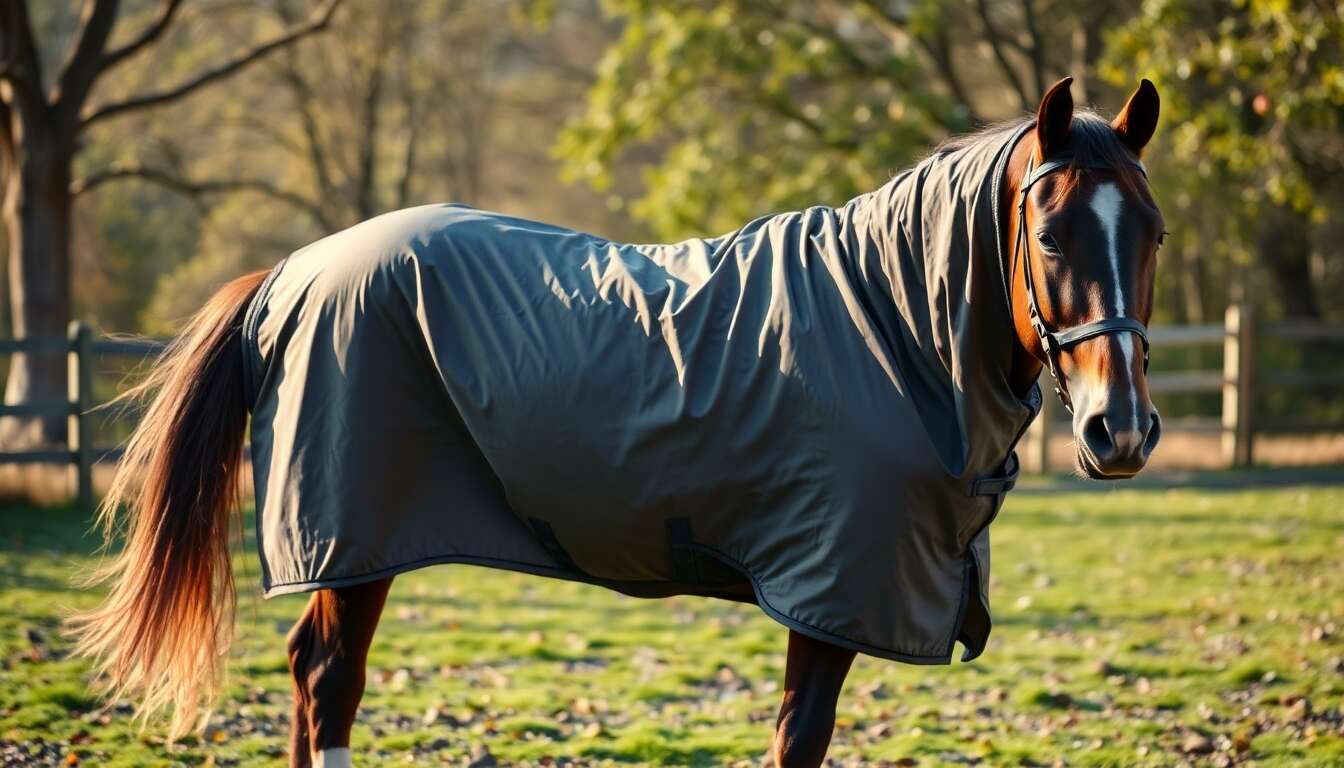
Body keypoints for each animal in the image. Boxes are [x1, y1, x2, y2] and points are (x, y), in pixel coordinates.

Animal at [70, 76, 1163, 767]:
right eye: (1050, 234)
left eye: (1151, 231)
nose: (1120, 431)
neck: (888, 322)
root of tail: (290, 273)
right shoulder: (828, 592)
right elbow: (798, 739)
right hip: (357, 537)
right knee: (330, 681)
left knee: (313, 677)